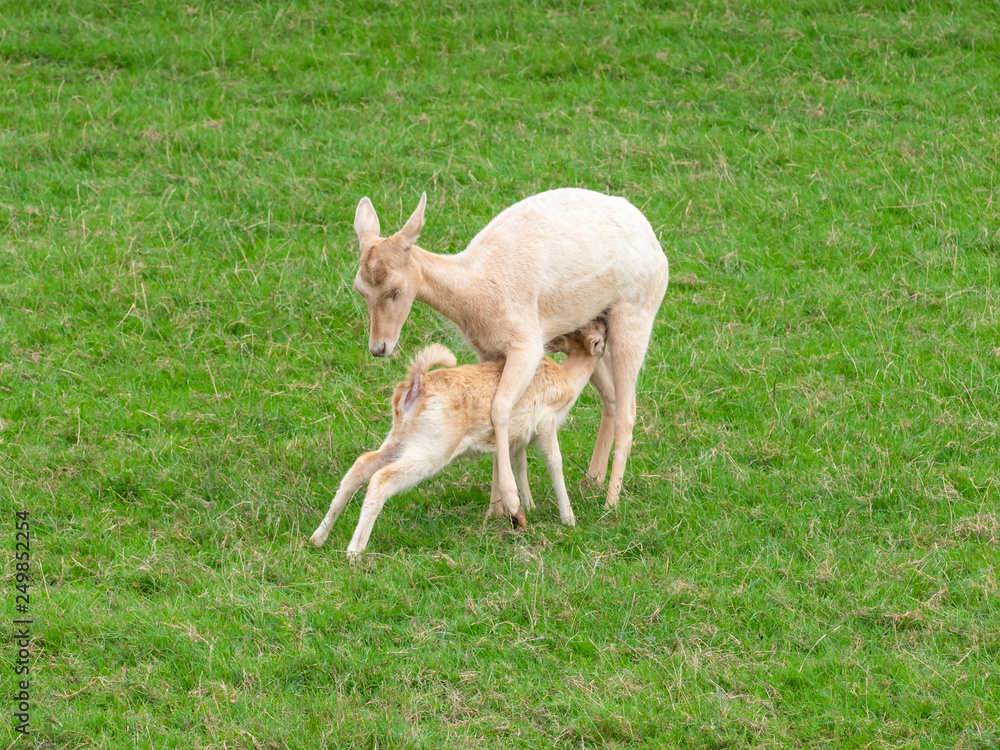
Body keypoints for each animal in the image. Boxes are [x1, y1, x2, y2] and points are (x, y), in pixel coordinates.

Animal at [309, 318, 608, 555]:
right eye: (597, 331)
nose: (605, 320)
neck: (568, 382)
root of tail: (415, 383)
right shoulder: (546, 424)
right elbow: (555, 462)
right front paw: (568, 519)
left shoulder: (516, 438)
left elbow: (519, 465)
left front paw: (528, 507)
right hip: (434, 447)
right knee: (382, 479)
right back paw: (354, 552)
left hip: (400, 438)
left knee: (360, 466)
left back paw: (318, 538)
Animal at [350, 188, 669, 526]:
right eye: (359, 288)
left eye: (396, 290)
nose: (379, 347)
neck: (475, 293)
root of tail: (655, 242)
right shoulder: (488, 351)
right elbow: (492, 406)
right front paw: (495, 509)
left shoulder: (527, 345)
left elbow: (500, 408)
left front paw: (513, 503)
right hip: (592, 326)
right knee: (610, 396)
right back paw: (591, 480)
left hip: (636, 316)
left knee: (628, 411)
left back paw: (611, 502)